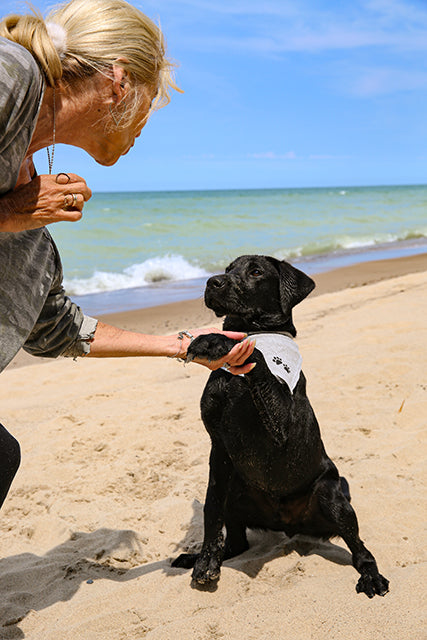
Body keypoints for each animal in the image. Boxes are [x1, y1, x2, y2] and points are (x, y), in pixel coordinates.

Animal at [172, 252, 390, 596]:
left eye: (256, 271)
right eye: (229, 268)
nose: (212, 281)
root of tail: (287, 524)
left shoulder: (282, 426)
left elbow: (255, 352)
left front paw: (216, 341)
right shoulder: (218, 447)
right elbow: (210, 507)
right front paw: (205, 562)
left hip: (332, 495)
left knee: (359, 548)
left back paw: (371, 575)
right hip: (237, 490)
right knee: (237, 543)